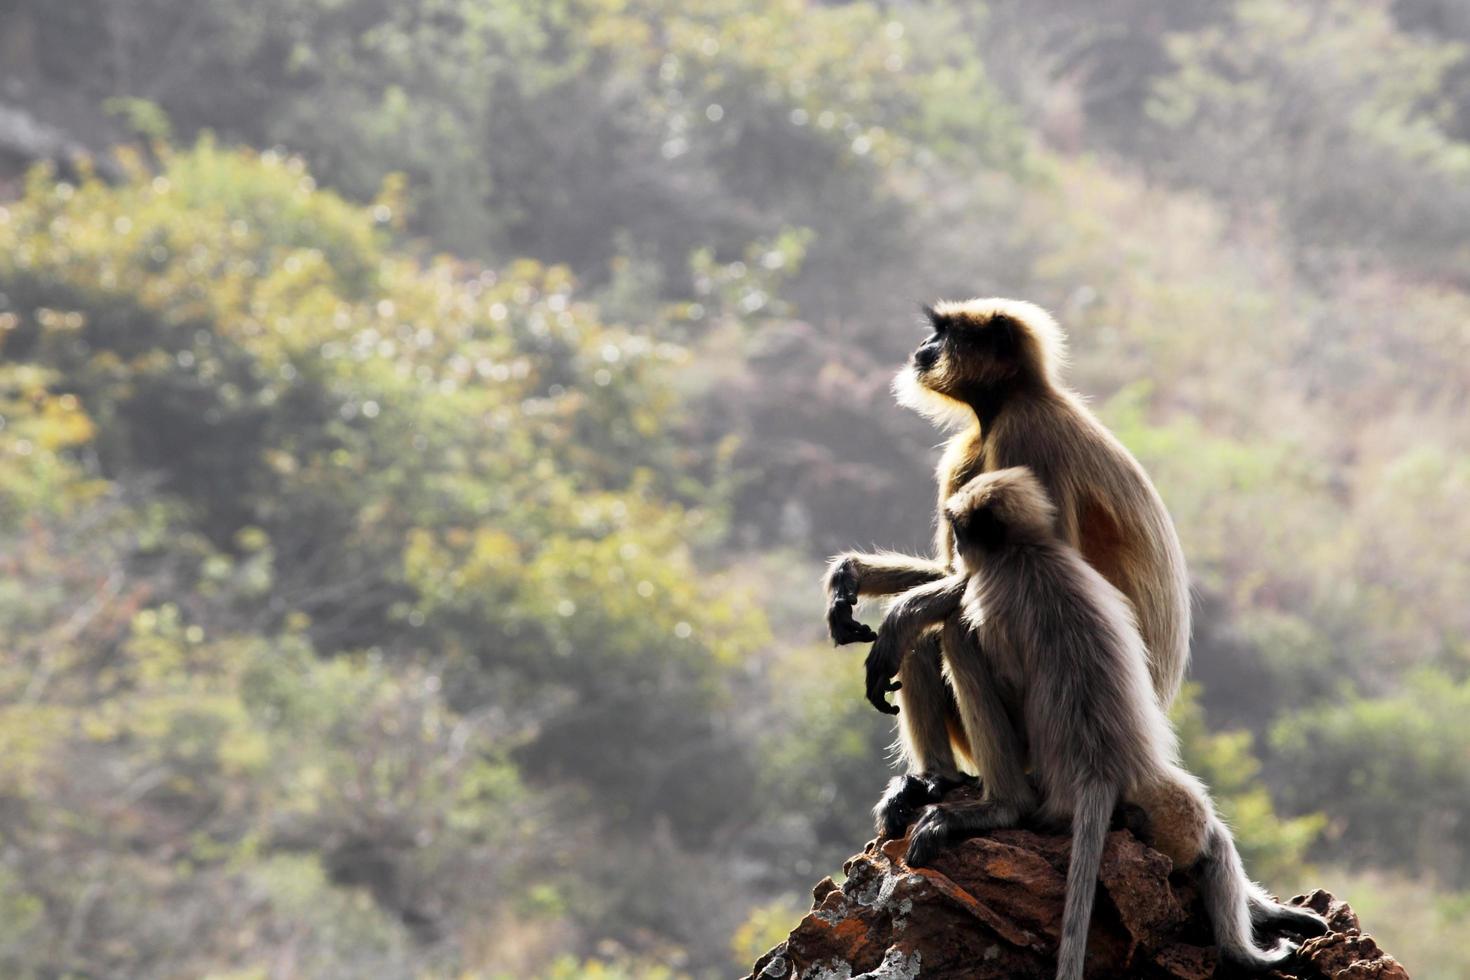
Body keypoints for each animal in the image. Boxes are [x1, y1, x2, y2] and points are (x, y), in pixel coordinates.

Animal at [829, 299, 1193, 834]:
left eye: (943, 333)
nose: (924, 347)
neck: (1009, 402)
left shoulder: (1027, 434)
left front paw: (897, 610)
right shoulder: (965, 453)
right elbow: (951, 570)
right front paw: (851, 575)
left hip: (1040, 745)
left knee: (950, 629)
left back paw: (1000, 804)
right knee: (928, 633)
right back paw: (936, 778)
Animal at [864, 467, 1328, 980]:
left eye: (962, 530)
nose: (962, 545)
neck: (1030, 551)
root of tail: (1101, 769)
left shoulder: (996, 587)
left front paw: (910, 609)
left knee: (956, 636)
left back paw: (1000, 806)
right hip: (1169, 807)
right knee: (1210, 843)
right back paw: (1247, 938)